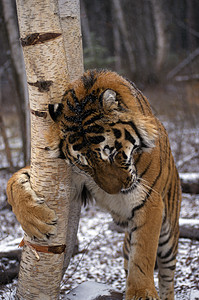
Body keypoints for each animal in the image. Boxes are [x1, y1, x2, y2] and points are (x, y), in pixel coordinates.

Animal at [6, 69, 181, 300]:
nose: (116, 191)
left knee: (167, 278)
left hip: (168, 237)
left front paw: (141, 292)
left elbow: (143, 253)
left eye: (113, 153)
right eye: (84, 164)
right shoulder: (72, 178)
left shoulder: (149, 199)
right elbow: (12, 182)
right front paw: (37, 221)